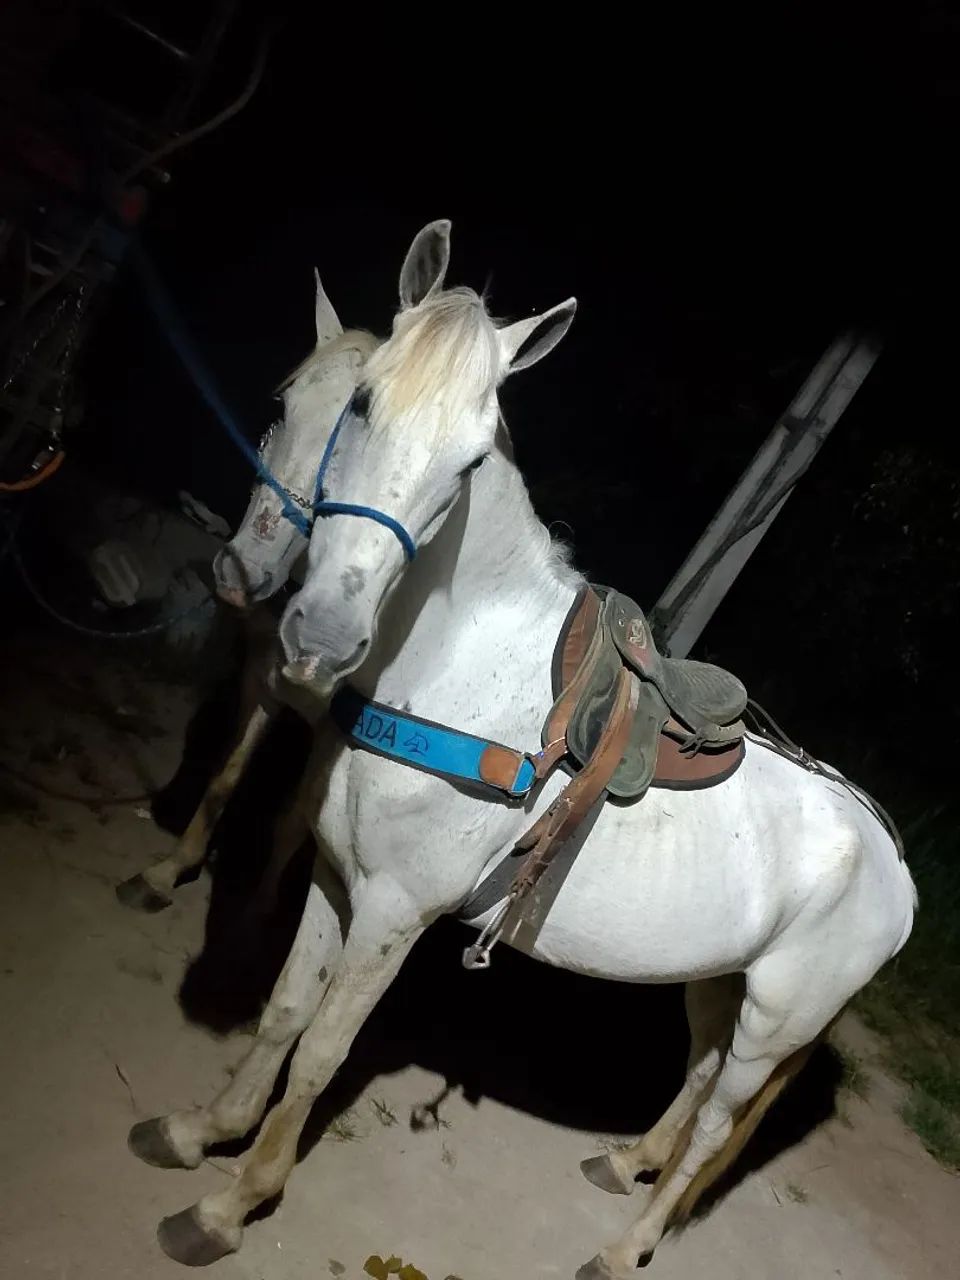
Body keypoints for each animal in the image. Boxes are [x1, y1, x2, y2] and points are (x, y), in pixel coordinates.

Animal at [114, 222, 449, 912]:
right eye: (284, 404)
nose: (240, 572)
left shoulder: (333, 745)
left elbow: (296, 822)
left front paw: (255, 909)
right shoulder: (265, 682)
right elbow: (225, 776)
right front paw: (169, 869)